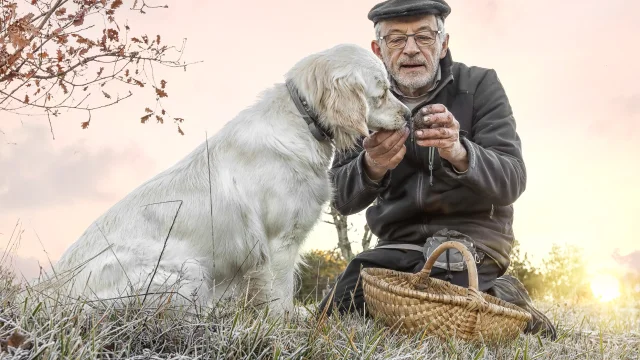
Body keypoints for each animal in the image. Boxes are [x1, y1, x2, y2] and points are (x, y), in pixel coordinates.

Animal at [51, 43, 410, 316]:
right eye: (381, 93)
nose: (408, 114)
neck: (302, 119)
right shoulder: (279, 243)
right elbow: (280, 295)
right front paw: (286, 326)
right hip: (188, 270)